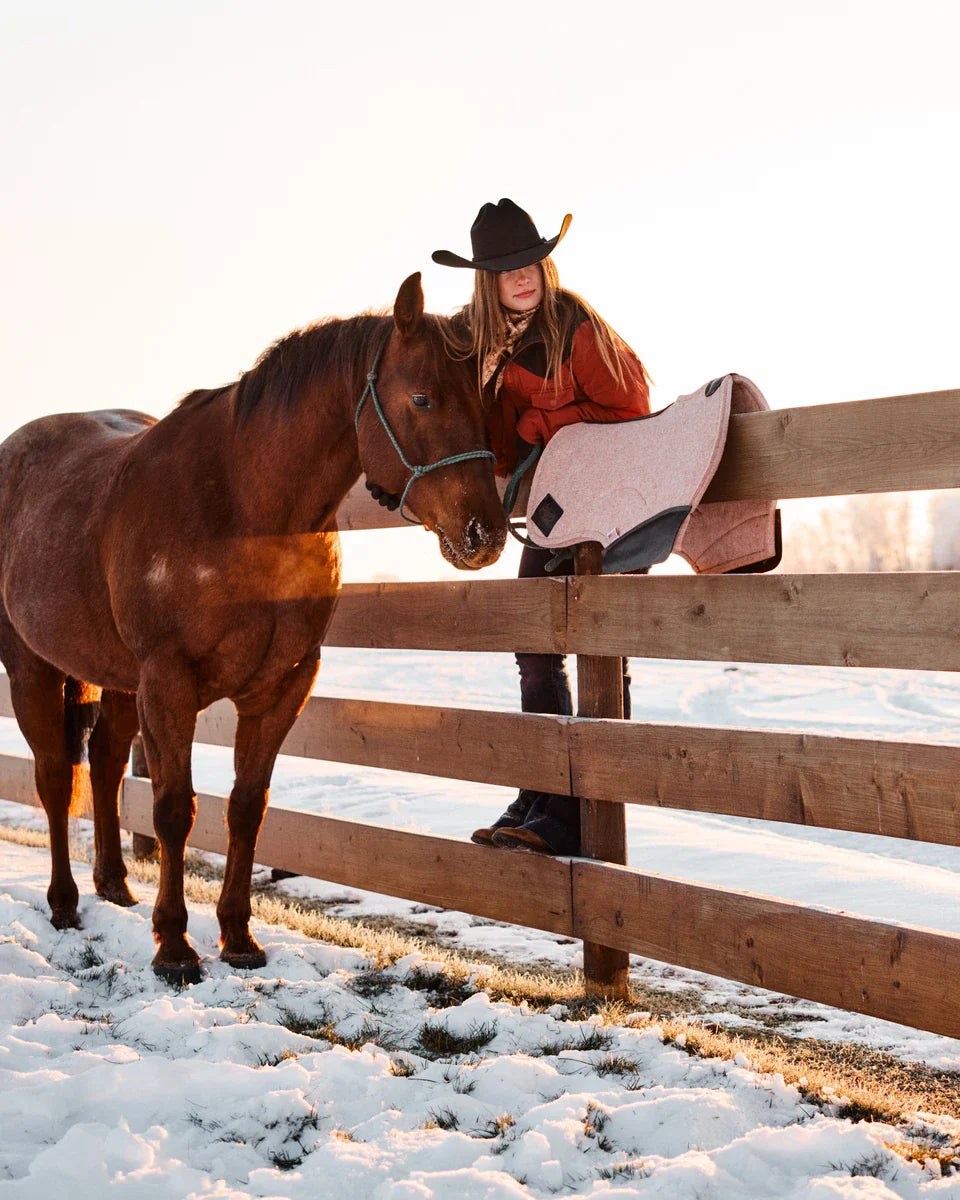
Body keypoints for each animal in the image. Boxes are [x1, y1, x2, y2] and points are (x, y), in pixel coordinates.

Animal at [0, 274, 508, 984]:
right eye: (422, 398)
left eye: (486, 397)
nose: (484, 533)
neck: (242, 506)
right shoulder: (169, 682)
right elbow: (175, 808)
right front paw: (175, 948)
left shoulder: (281, 685)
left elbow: (246, 806)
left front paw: (237, 939)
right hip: (33, 668)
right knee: (53, 777)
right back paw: (65, 901)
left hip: (117, 679)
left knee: (102, 765)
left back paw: (115, 886)